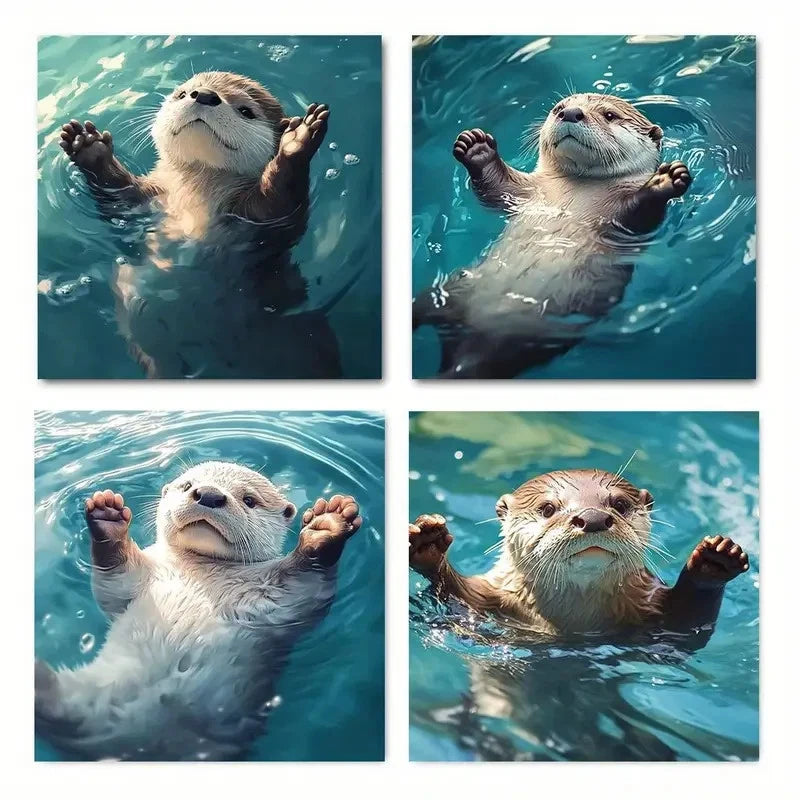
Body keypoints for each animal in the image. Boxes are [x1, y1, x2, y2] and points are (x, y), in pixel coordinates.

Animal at [35, 462, 362, 760]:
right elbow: (113, 584)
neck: (200, 575)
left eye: (249, 499)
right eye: (187, 485)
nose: (209, 494)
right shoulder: (137, 579)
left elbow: (307, 595)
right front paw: (108, 518)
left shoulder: (279, 599)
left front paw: (327, 524)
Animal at [59, 71, 341, 378]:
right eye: (183, 93)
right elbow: (118, 200)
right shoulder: (146, 201)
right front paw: (89, 147)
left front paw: (297, 141)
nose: (203, 95)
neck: (194, 200)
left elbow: (283, 209)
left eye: (246, 111)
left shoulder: (257, 217)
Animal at [409, 469, 748, 636]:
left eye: (619, 504)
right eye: (547, 508)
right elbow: (452, 594)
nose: (593, 518)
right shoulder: (485, 601)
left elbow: (688, 626)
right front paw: (428, 542)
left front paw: (714, 560)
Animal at [413, 93, 693, 378]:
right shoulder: (524, 193)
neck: (573, 194)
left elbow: (638, 219)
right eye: (559, 107)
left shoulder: (622, 222)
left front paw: (664, 181)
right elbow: (496, 190)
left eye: (609, 115)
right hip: (451, 291)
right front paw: (477, 149)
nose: (570, 113)